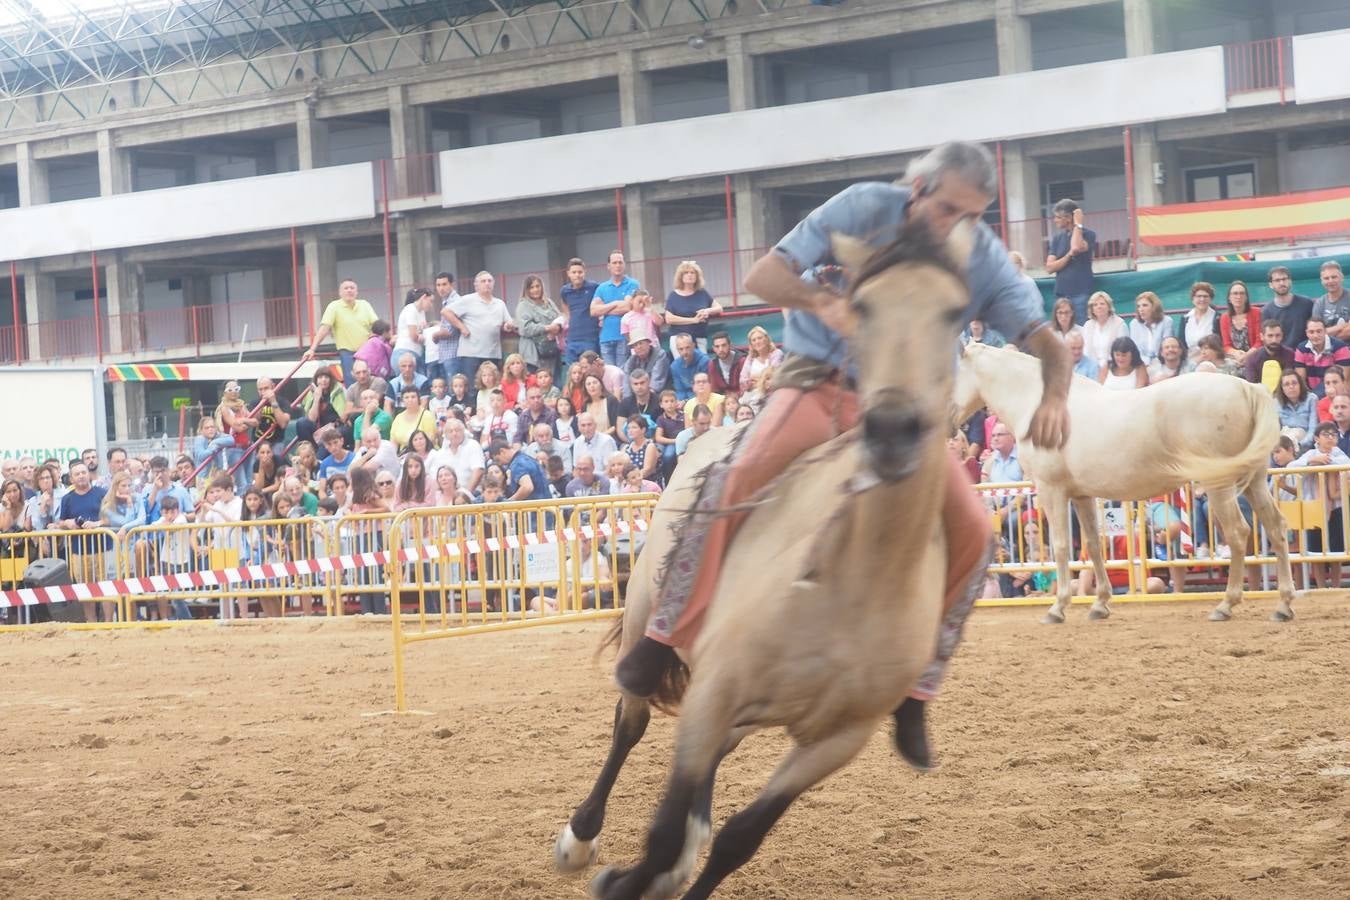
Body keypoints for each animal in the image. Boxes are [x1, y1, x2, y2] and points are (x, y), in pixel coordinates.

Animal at [950, 345, 1296, 626]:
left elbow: (1061, 547)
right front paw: (1100, 605)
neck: (1041, 409)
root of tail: (1246, 387)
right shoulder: (1081, 495)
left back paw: (1226, 605)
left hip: (1220, 485)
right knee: (1275, 527)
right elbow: (1092, 546)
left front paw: (1057, 608)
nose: (951, 424)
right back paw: (1283, 605)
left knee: (1238, 534)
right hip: (1254, 481)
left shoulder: (1052, 490)